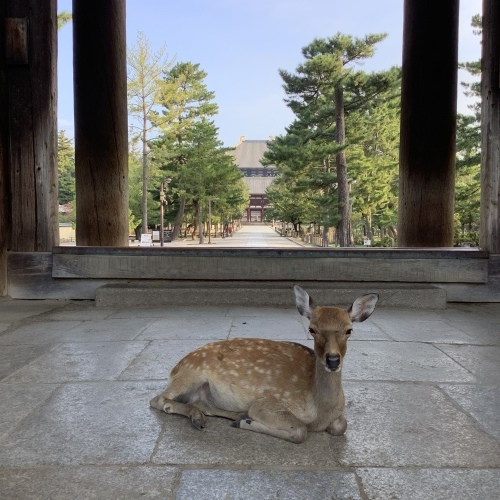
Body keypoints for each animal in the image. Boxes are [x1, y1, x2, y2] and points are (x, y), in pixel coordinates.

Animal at [150, 284, 376, 444]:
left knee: (201, 404)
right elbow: (300, 431)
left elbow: (342, 425)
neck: (320, 412)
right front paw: (247, 422)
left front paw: (243, 420)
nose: (333, 360)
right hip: (191, 373)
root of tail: (174, 369)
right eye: (312, 329)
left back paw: (228, 416)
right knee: (158, 399)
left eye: (349, 330)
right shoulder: (267, 403)